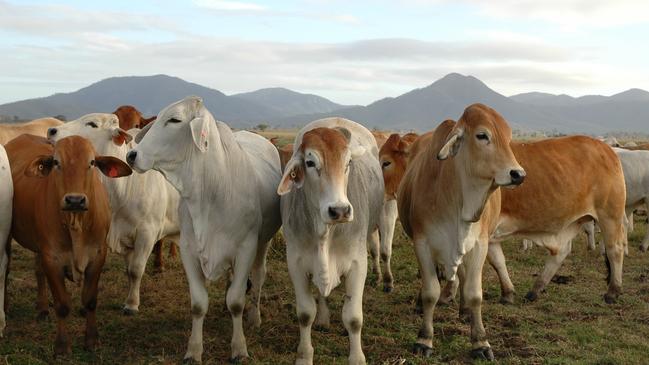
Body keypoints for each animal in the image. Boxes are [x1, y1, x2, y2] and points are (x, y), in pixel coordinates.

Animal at [5, 133, 131, 352]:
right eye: (56, 162)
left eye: (92, 162)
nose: (75, 200)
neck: (76, 224)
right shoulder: (52, 258)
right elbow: (62, 305)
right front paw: (62, 345)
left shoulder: (98, 255)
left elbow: (90, 300)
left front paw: (91, 340)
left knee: (38, 271)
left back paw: (42, 308)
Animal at [47, 112, 181, 314]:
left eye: (92, 124)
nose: (51, 131)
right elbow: (128, 271)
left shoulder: (147, 233)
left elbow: (136, 269)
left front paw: (132, 305)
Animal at [125, 95, 280, 362]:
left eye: (174, 120)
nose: (132, 155)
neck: (210, 191)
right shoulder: (189, 250)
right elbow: (198, 304)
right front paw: (194, 350)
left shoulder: (246, 248)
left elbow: (237, 301)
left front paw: (239, 348)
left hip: (264, 243)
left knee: (259, 277)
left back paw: (254, 317)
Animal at [278, 116, 380, 364]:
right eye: (310, 162)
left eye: (348, 162)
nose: (340, 210)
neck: (324, 233)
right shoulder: (295, 263)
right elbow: (305, 314)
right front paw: (304, 355)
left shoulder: (358, 264)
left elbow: (353, 318)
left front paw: (357, 358)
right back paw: (323, 318)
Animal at [398, 104, 524, 360]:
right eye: (482, 135)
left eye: (509, 137)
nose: (518, 174)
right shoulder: (422, 244)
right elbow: (430, 292)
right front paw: (424, 339)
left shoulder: (479, 245)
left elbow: (475, 293)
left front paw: (481, 342)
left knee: (464, 277)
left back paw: (465, 310)